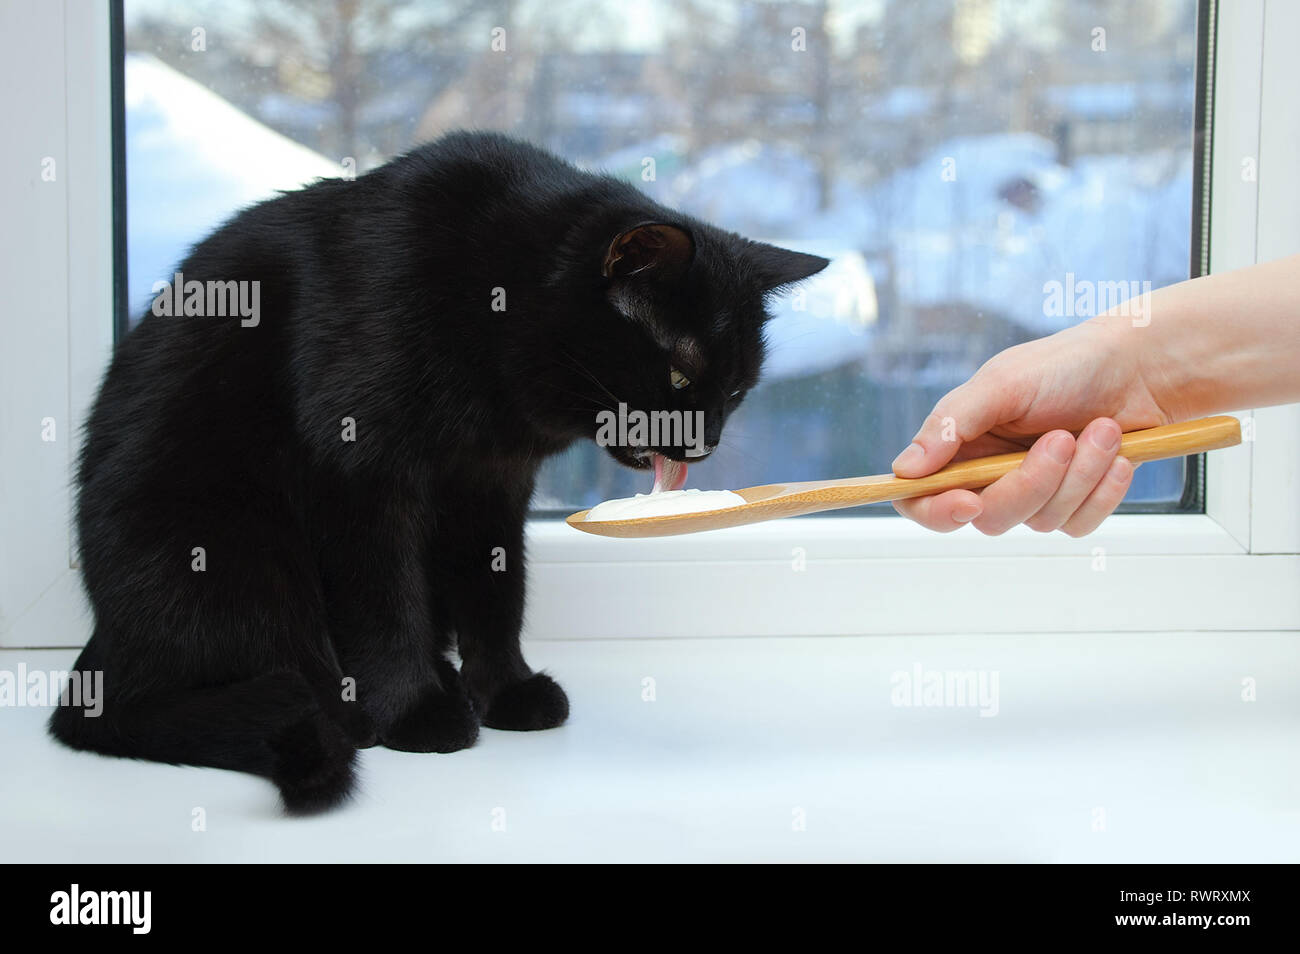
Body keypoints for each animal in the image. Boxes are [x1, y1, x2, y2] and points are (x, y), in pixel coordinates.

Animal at [50, 128, 826, 816]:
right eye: (679, 372)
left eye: (735, 390)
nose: (703, 444)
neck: (493, 306)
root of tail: (100, 659)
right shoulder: (361, 470)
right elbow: (384, 602)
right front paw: (414, 710)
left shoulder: (490, 484)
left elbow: (496, 591)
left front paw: (506, 690)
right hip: (238, 548)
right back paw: (354, 713)